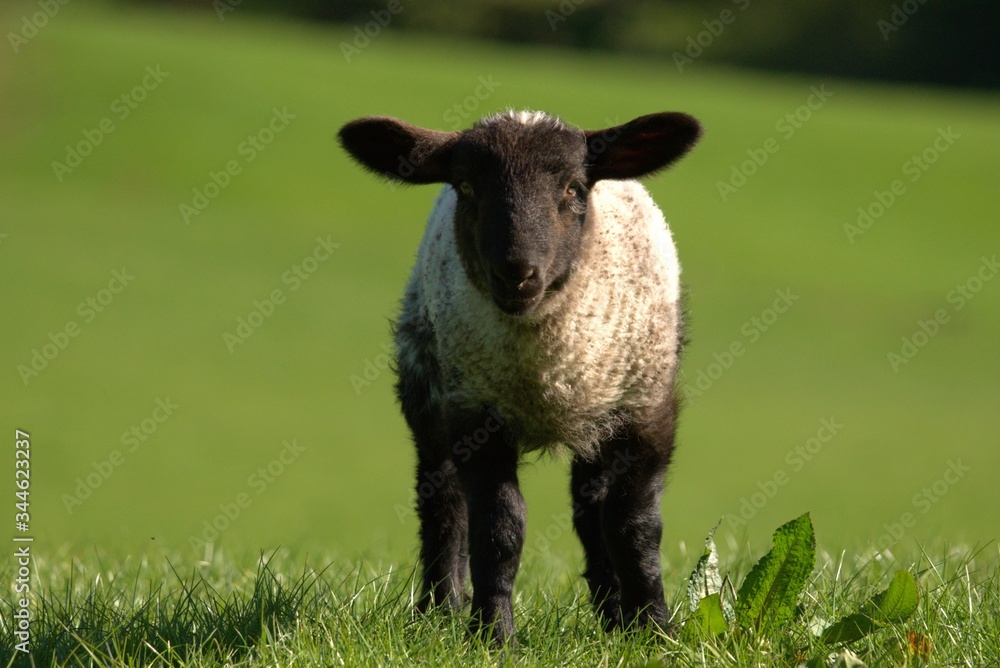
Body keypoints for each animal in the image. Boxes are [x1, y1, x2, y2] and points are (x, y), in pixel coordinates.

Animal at [338, 109, 702, 645]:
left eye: (574, 186)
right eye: (467, 186)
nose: (516, 273)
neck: (546, 366)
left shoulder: (646, 412)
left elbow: (634, 527)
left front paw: (654, 631)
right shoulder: (476, 413)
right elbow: (498, 529)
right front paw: (493, 635)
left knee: (591, 508)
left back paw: (613, 616)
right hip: (430, 385)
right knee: (443, 504)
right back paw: (438, 611)